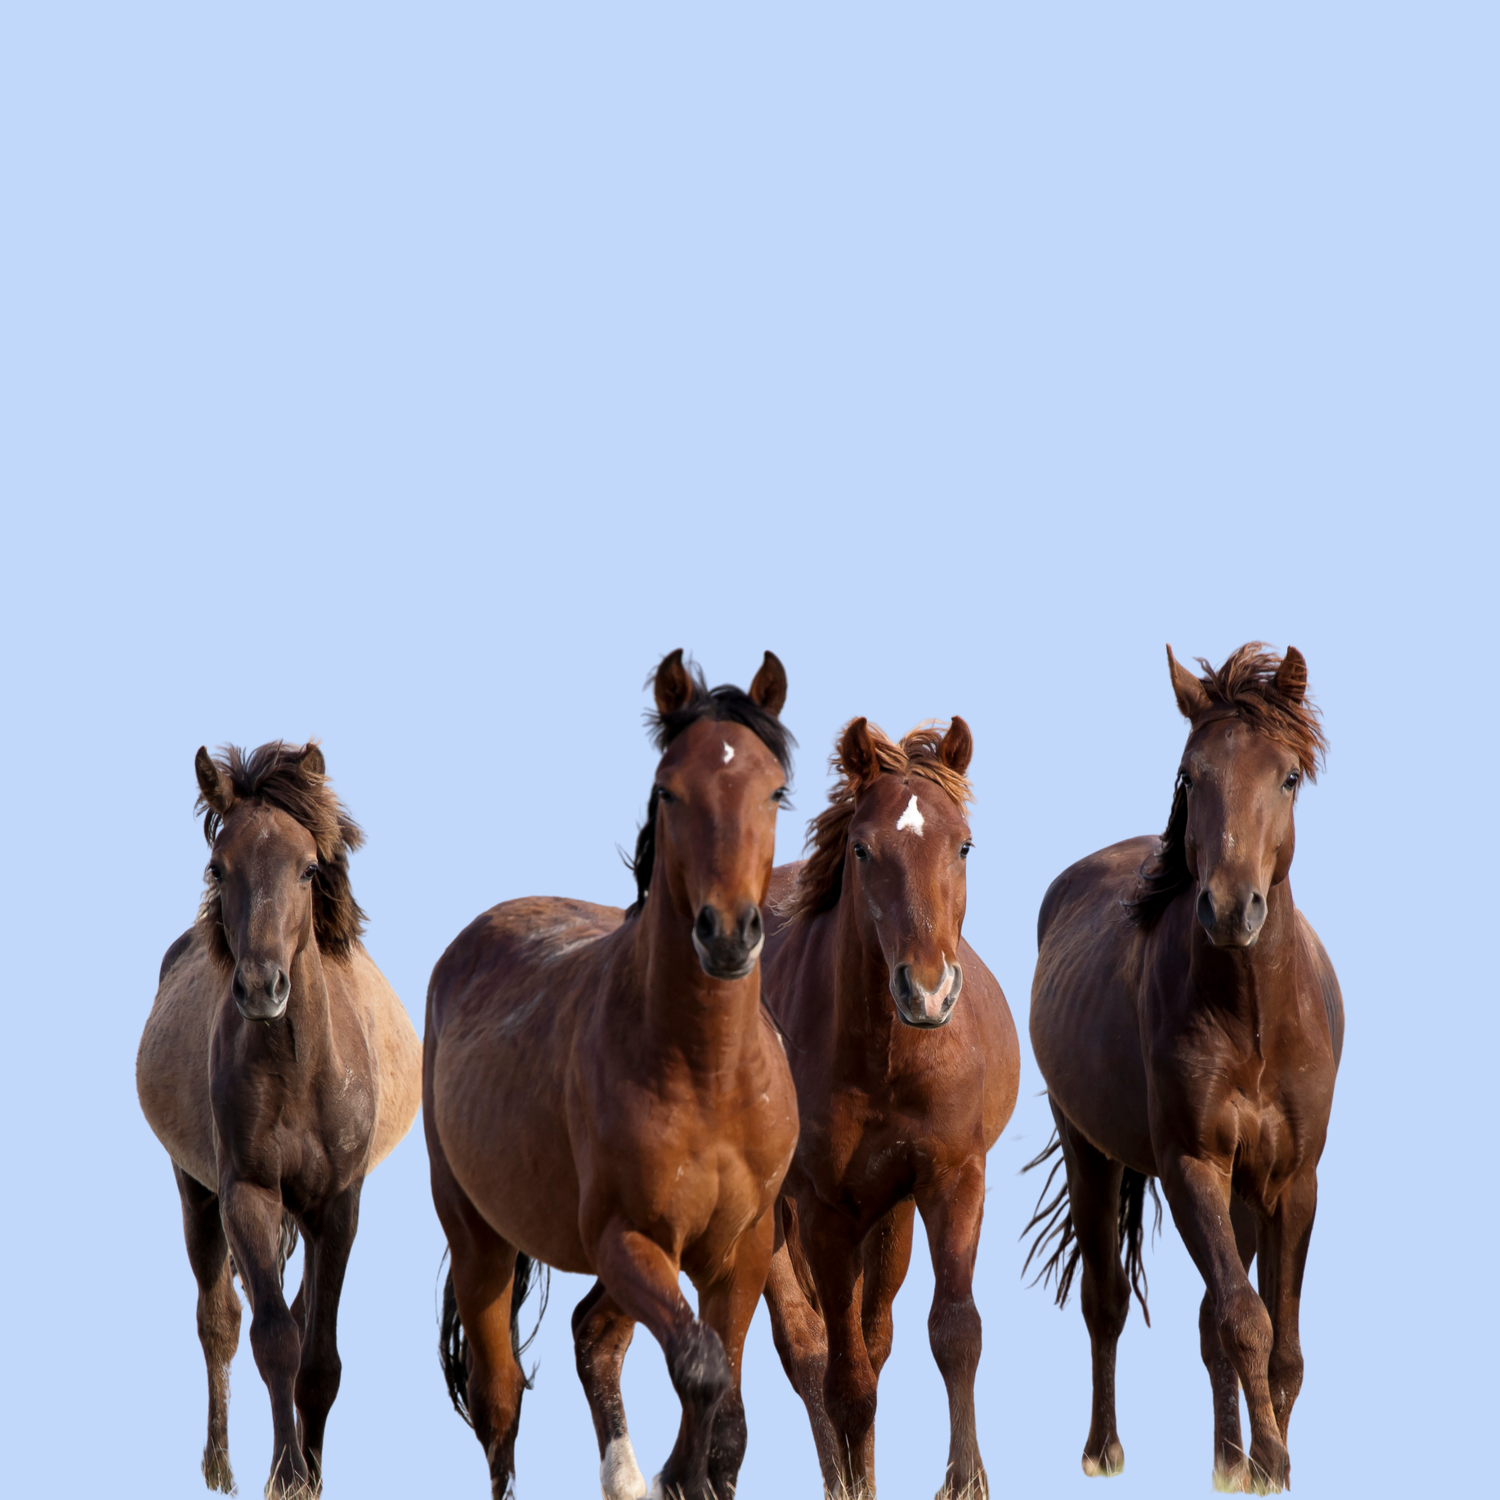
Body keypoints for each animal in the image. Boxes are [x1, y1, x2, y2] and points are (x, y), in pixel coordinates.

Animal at [136, 740, 422, 1496]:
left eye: (309, 868)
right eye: (218, 866)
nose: (262, 987)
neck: (297, 1072)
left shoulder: (337, 1205)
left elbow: (319, 1358)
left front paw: (310, 1473)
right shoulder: (247, 1194)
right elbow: (272, 1341)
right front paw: (289, 1474)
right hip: (194, 1190)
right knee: (220, 1321)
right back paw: (220, 1466)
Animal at [425, 650, 800, 1500]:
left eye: (775, 790)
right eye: (669, 790)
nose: (728, 935)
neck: (707, 1074)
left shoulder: (742, 1248)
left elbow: (726, 1408)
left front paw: (685, 1474)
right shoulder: (628, 1237)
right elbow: (702, 1369)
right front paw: (677, 1476)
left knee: (593, 1335)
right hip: (479, 1242)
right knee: (500, 1407)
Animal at [759, 716, 1020, 1499]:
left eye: (962, 844)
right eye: (862, 848)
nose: (928, 991)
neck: (884, 1059)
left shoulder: (951, 1178)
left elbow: (955, 1333)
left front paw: (966, 1480)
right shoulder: (820, 1210)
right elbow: (843, 1380)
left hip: (890, 1216)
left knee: (874, 1341)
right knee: (812, 1352)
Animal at [1024, 644, 1342, 1494]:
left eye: (1288, 776)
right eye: (1189, 775)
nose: (1230, 909)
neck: (1254, 1021)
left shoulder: (1292, 1181)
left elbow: (1281, 1343)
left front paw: (1266, 1464)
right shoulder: (1192, 1164)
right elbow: (1246, 1320)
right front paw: (1271, 1464)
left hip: (1243, 1192)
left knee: (1205, 1321)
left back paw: (1225, 1460)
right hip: (1090, 1152)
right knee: (1107, 1301)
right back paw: (1105, 1451)